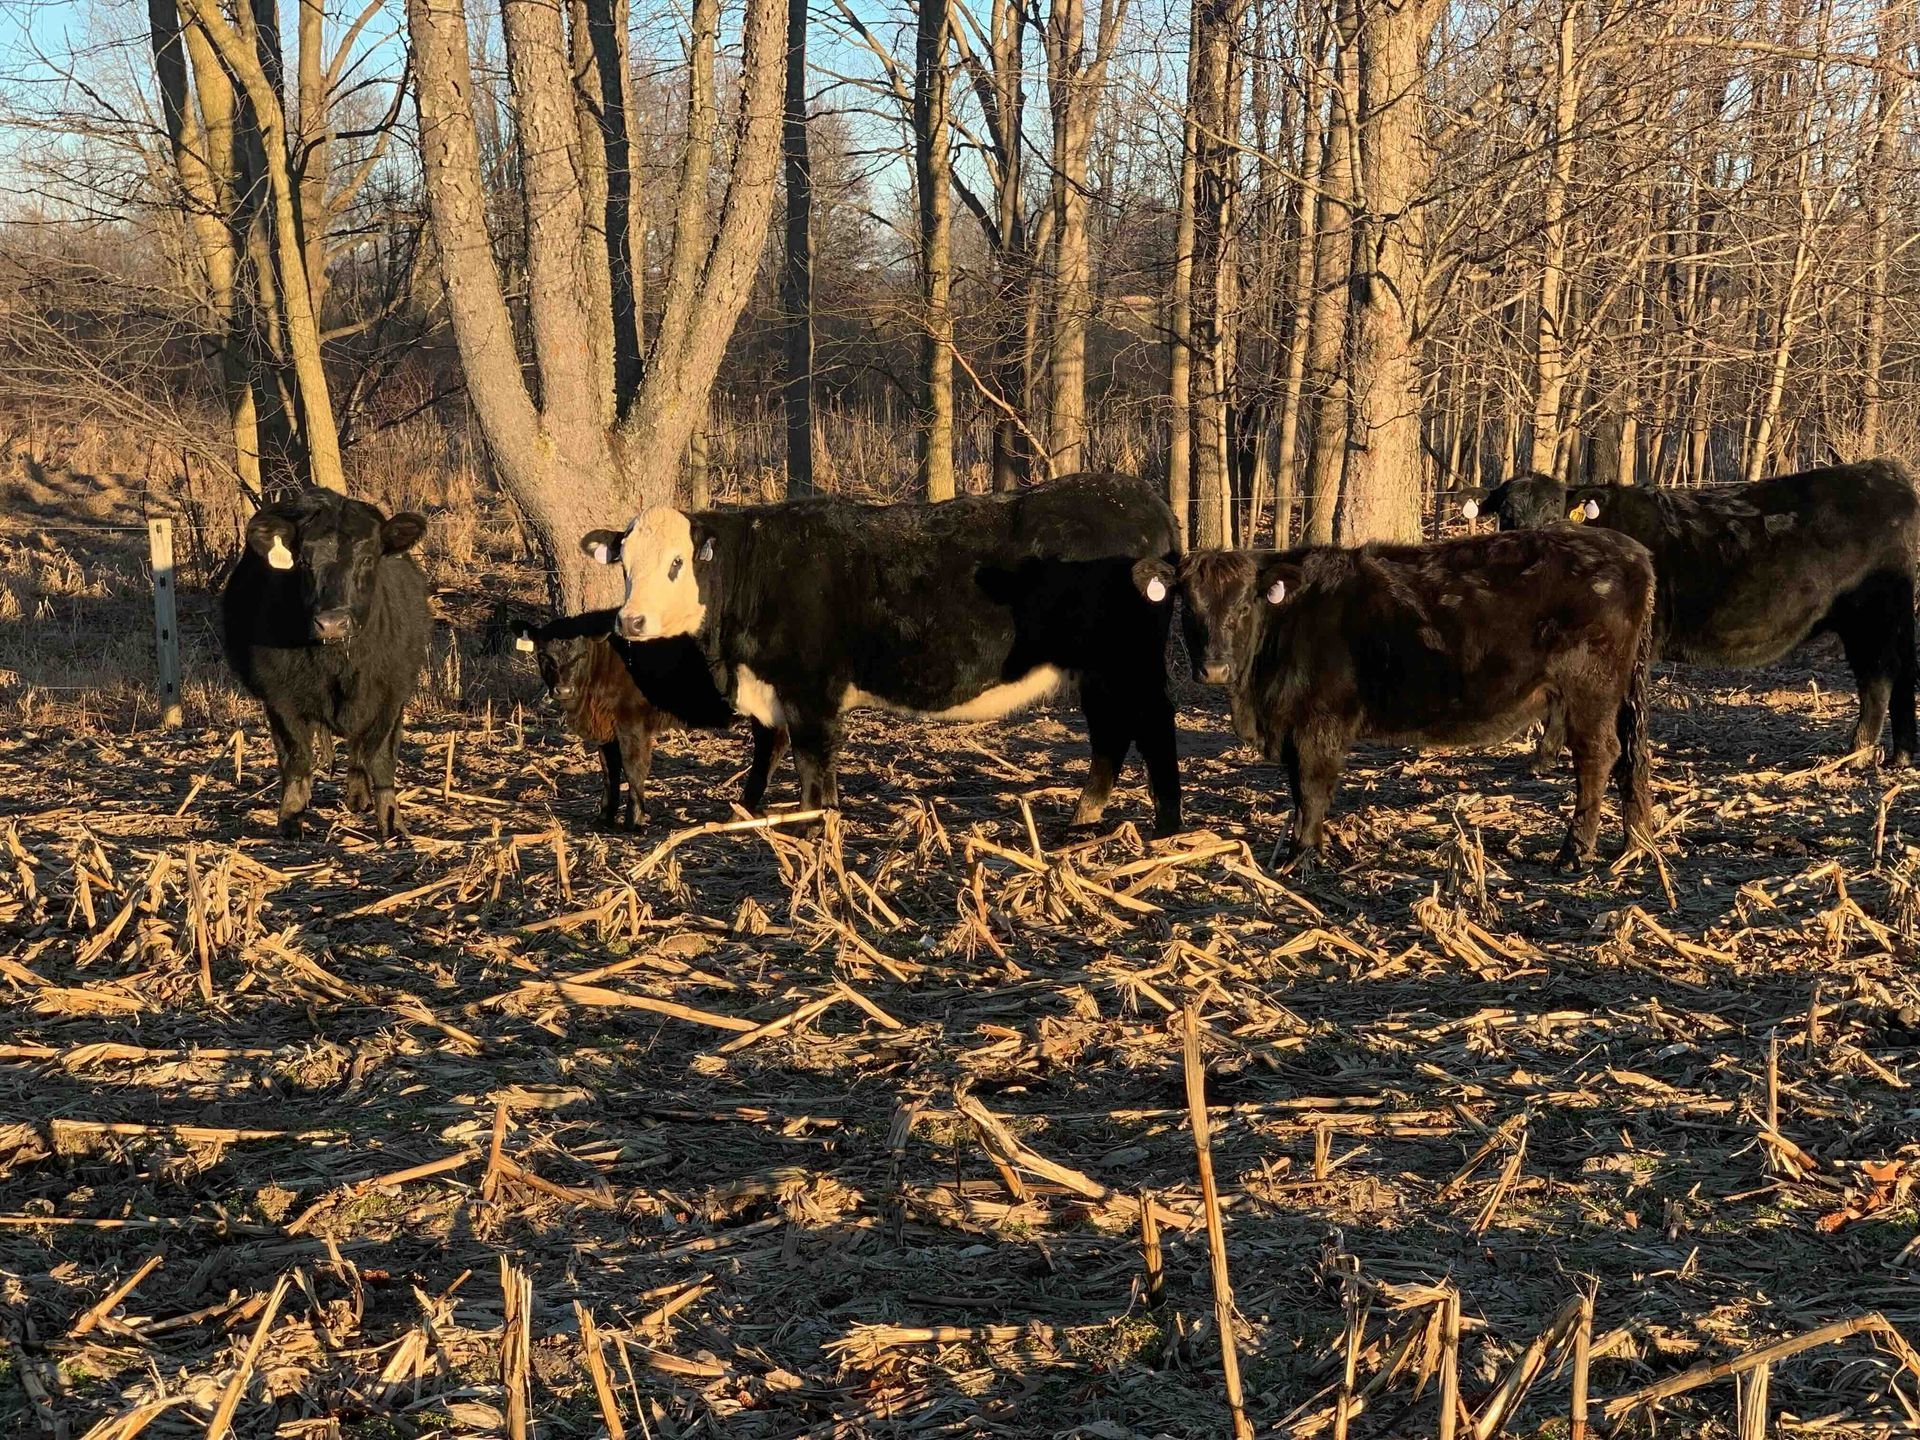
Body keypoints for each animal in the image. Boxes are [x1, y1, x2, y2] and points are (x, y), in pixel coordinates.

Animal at [222, 488, 429, 839]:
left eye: (367, 559)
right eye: (304, 562)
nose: (331, 623)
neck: (338, 666)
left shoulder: (392, 694)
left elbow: (380, 758)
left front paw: (391, 822)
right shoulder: (280, 699)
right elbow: (296, 758)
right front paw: (291, 818)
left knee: (359, 750)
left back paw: (359, 797)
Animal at [510, 611, 790, 825]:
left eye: (581, 655)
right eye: (543, 655)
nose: (563, 690)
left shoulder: (632, 723)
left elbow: (634, 768)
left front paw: (634, 821)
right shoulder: (606, 730)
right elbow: (609, 770)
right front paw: (604, 818)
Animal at [579, 472, 1183, 835]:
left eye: (677, 563)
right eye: (625, 563)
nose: (630, 621)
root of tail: (1143, 497)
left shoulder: (811, 691)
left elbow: (811, 763)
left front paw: (812, 825)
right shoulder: (772, 688)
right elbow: (767, 751)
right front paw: (751, 814)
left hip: (1127, 663)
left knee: (1150, 726)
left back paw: (1166, 825)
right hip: (1101, 672)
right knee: (1112, 734)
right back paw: (1085, 818)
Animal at [1137, 529, 1656, 869]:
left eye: (1245, 603)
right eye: (1189, 604)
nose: (1214, 668)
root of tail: (1631, 548)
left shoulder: (1320, 723)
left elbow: (1312, 787)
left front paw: (1303, 855)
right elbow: (1298, 789)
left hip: (1589, 690)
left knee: (1598, 758)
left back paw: (1575, 852)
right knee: (1628, 761)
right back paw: (1631, 843)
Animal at [1462, 461, 1920, 767]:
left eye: (1554, 511)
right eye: (1507, 514)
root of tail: (1885, 472)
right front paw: (1545, 758)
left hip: (1871, 615)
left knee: (1877, 677)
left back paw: (1857, 752)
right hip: (1895, 616)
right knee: (1901, 674)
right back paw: (1900, 755)